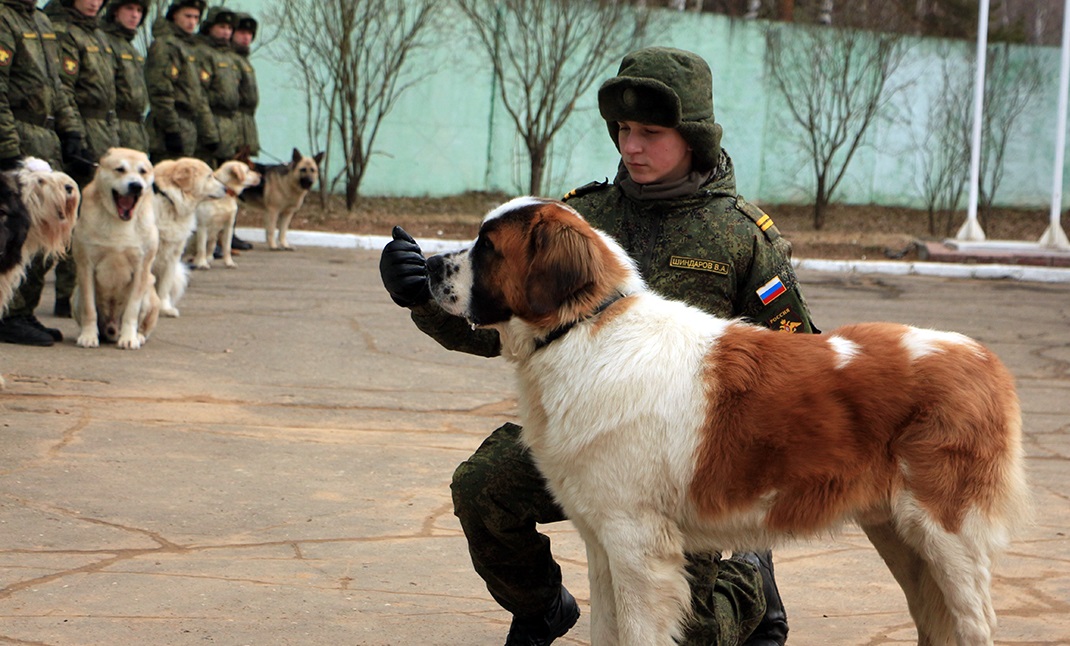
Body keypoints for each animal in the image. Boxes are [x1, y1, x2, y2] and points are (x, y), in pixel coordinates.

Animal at [72, 148, 160, 350]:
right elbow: (89, 309)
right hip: (76, 295)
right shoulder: (85, 266)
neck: (120, 222)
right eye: (120, 169)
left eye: (143, 171)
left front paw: (129, 338)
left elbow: (132, 310)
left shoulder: (142, 269)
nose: (136, 186)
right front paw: (88, 336)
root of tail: (112, 328)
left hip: (150, 295)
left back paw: (138, 336)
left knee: (144, 325)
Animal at [151, 157, 227, 317]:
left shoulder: (172, 256)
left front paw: (165, 309)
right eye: (209, 176)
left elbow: (164, 288)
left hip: (179, 274)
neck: (170, 201)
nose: (226, 189)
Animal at [424, 196, 1030, 646]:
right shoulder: (601, 541)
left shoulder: (635, 543)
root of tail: (985, 360)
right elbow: (605, 629)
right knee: (933, 615)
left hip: (946, 533)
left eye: (487, 247)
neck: (583, 329)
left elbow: (638, 632)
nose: (427, 265)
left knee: (973, 621)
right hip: (898, 534)